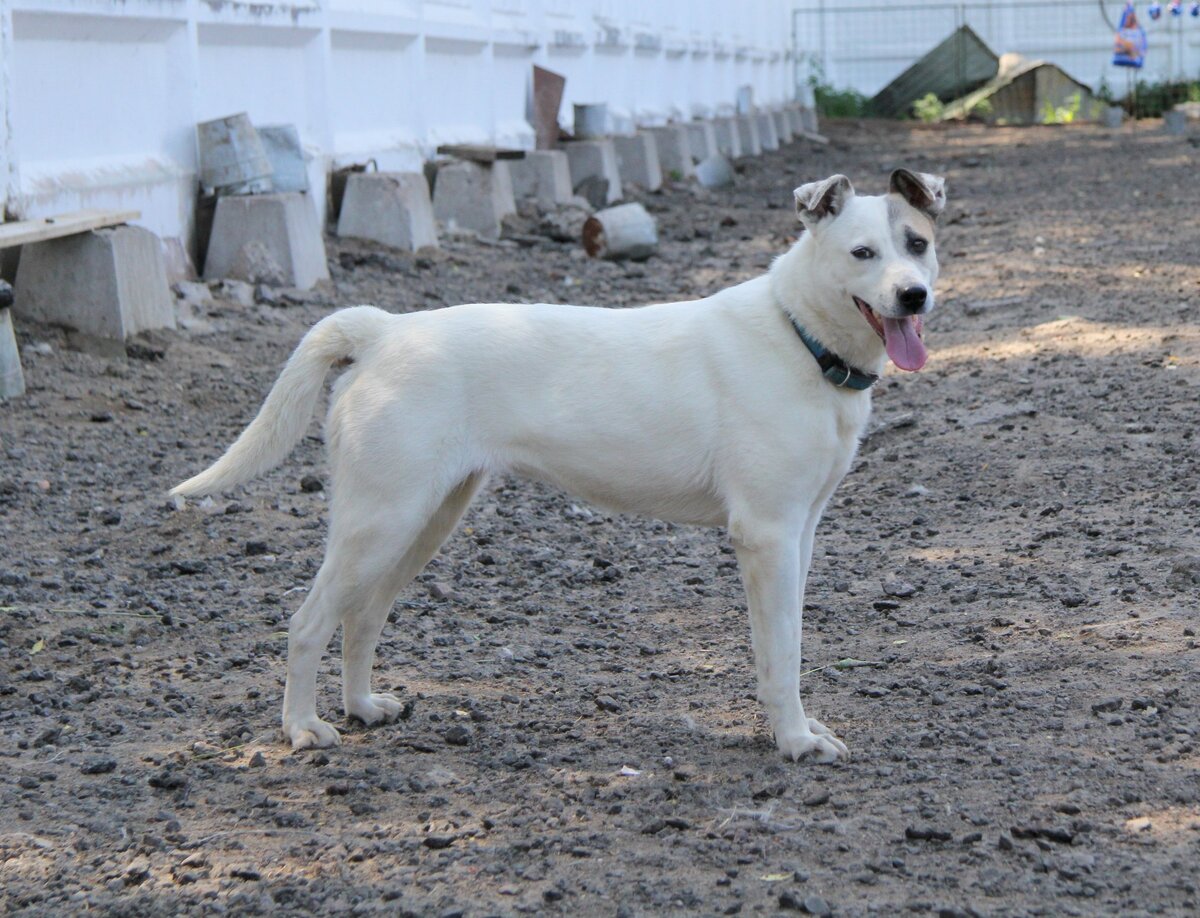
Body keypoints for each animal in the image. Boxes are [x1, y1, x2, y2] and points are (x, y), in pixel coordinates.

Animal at [174, 168, 940, 763]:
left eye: (918, 245)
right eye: (862, 252)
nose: (914, 295)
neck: (799, 335)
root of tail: (383, 330)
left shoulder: (800, 534)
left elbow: (789, 645)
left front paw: (798, 729)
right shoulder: (767, 536)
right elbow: (779, 655)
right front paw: (794, 741)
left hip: (421, 523)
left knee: (362, 618)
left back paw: (362, 707)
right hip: (378, 522)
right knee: (308, 623)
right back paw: (303, 728)